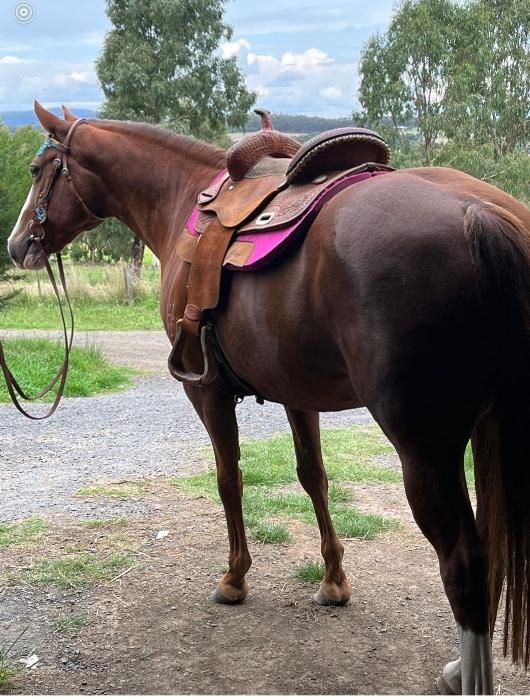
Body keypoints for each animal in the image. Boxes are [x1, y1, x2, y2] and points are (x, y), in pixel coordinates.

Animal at [7, 101, 530, 694]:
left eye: (36, 170)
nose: (18, 245)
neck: (183, 198)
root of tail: (480, 213)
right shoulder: (296, 393)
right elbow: (314, 477)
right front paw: (333, 581)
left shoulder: (206, 391)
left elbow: (228, 478)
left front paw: (234, 578)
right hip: (488, 431)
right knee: (489, 549)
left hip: (426, 450)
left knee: (464, 563)